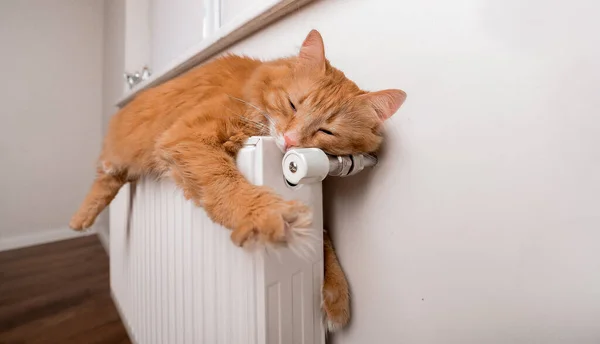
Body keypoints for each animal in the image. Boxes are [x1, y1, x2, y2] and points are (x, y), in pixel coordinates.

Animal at [70, 30, 408, 332]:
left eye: (326, 131)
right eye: (292, 104)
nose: (290, 140)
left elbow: (322, 239)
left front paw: (337, 297)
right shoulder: (187, 138)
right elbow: (227, 185)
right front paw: (265, 216)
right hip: (121, 157)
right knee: (105, 178)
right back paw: (80, 221)